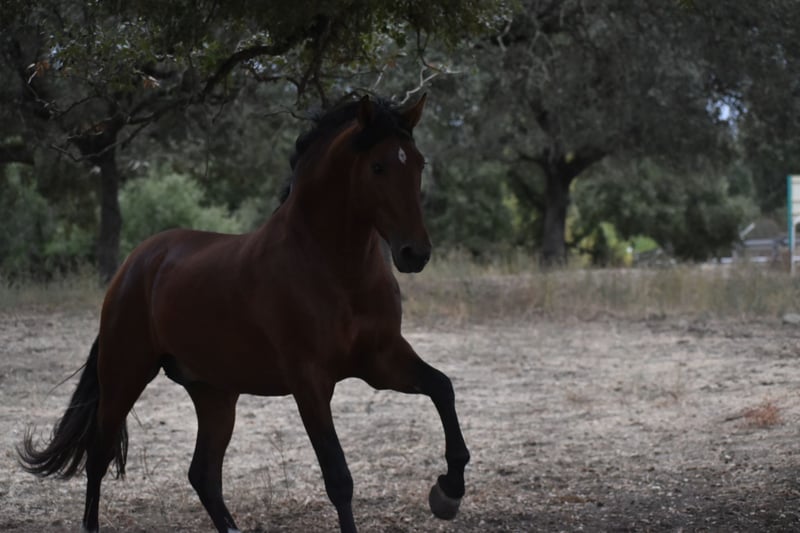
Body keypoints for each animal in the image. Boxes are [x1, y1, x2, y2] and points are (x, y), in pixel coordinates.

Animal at [18, 94, 470, 533]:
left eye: (418, 163)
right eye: (377, 166)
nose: (414, 253)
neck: (334, 269)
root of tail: (133, 266)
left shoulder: (381, 361)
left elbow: (442, 388)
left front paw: (447, 492)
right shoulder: (310, 382)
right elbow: (338, 478)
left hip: (214, 393)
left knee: (202, 475)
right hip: (125, 374)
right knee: (99, 456)